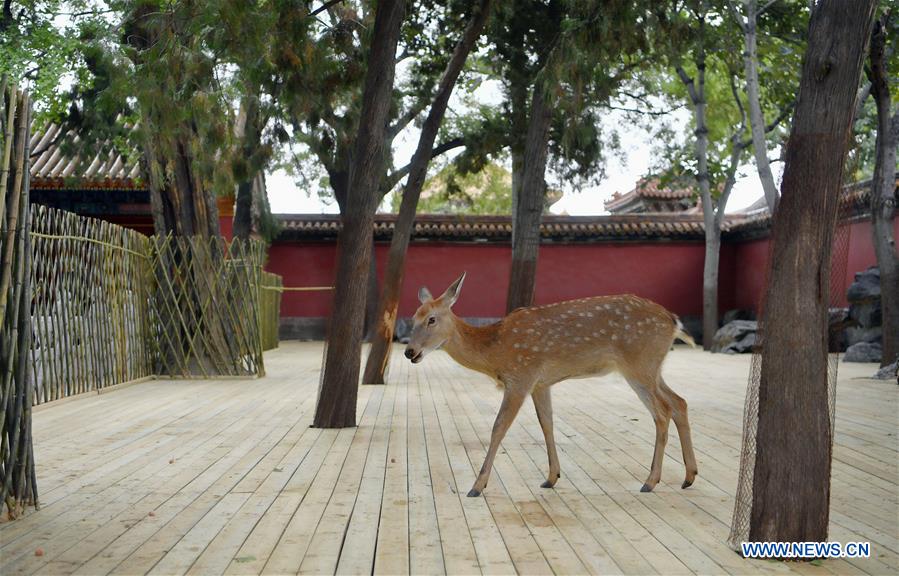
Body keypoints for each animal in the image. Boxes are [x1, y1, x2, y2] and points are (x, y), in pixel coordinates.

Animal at [404, 274, 700, 496]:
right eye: (412, 318)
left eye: (431, 319)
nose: (409, 351)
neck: (496, 350)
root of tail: (674, 320)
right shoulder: (541, 382)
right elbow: (547, 422)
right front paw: (551, 477)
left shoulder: (521, 376)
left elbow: (499, 427)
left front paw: (477, 485)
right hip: (652, 367)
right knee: (680, 402)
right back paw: (689, 476)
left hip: (638, 364)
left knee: (662, 411)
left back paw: (650, 481)